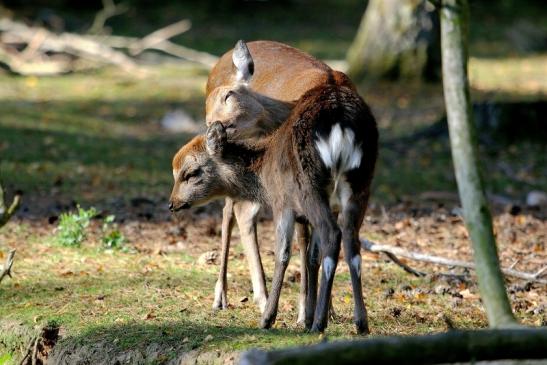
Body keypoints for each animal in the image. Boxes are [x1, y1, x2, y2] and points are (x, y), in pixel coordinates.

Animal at [170, 42, 376, 330]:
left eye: (230, 95)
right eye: (209, 107)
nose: (213, 125)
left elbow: (307, 250)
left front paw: (314, 312)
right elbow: (307, 249)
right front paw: (307, 312)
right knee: (233, 211)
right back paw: (227, 297)